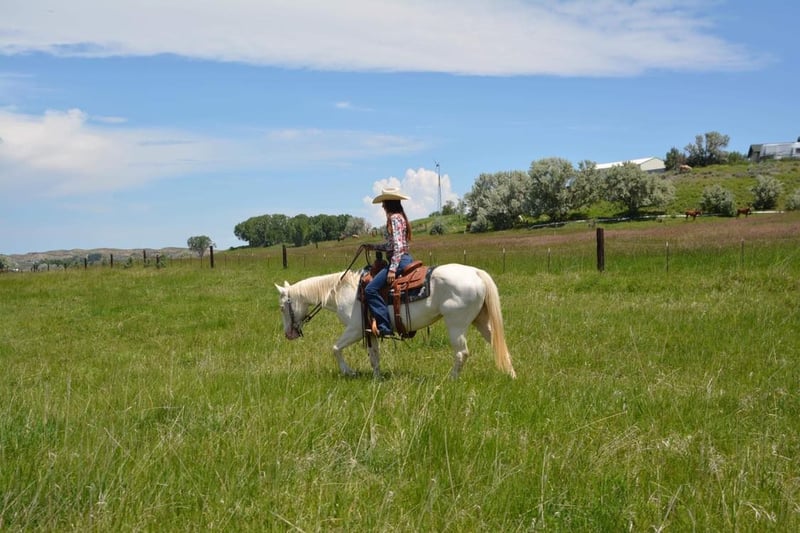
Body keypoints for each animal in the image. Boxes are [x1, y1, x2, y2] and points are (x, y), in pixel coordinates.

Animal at [276, 264, 517, 379]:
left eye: (282, 307)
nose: (288, 334)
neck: (344, 291)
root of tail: (476, 273)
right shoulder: (369, 331)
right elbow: (374, 356)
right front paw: (376, 377)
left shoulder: (354, 330)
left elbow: (335, 348)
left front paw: (348, 372)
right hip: (480, 320)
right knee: (498, 344)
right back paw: (511, 374)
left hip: (456, 325)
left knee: (461, 353)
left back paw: (452, 379)